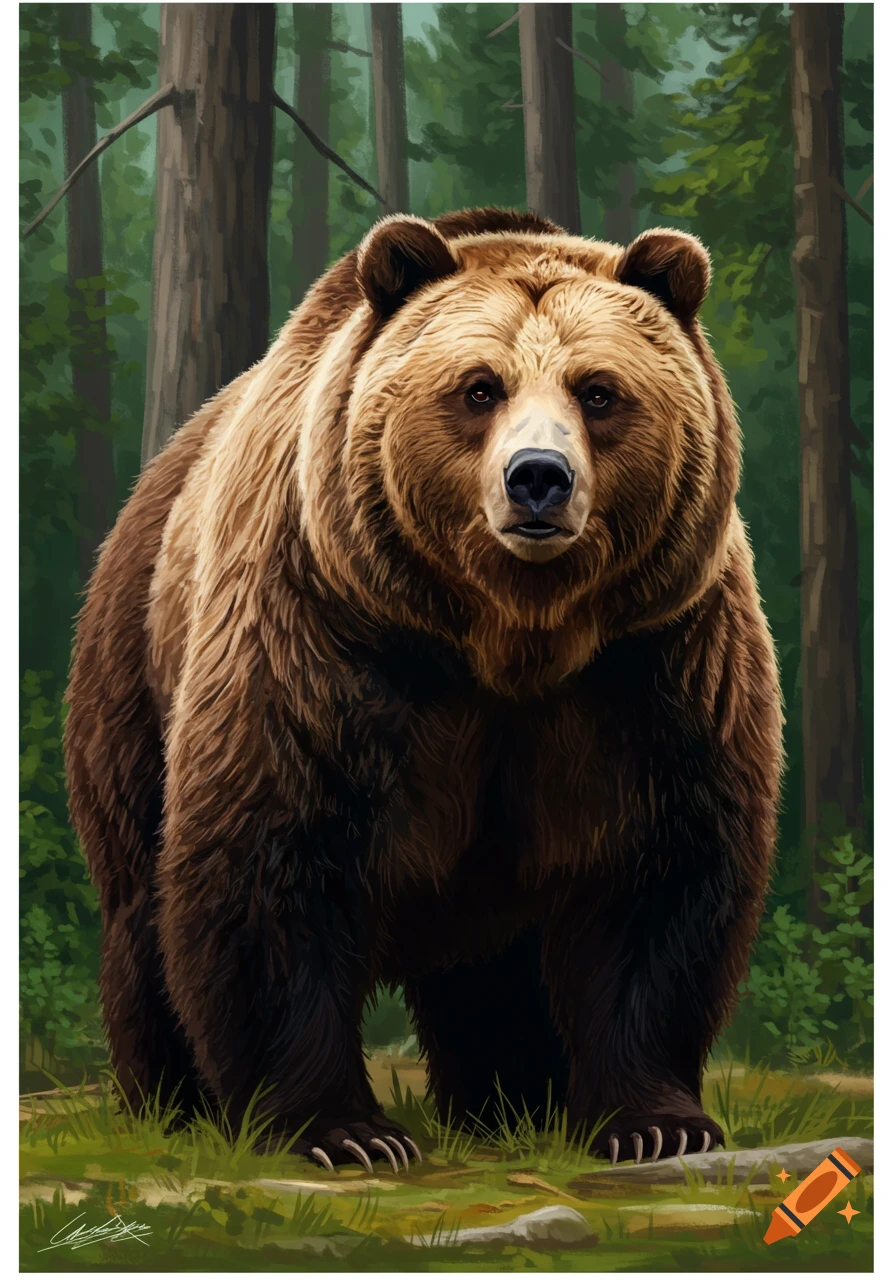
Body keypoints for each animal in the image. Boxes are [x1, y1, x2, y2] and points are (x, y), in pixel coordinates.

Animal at [64, 206, 783, 1172]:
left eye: (598, 391)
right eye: (479, 388)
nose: (538, 478)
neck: (507, 636)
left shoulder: (657, 658)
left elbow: (659, 874)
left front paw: (655, 1121)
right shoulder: (323, 632)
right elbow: (275, 856)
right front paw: (344, 1132)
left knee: (494, 968)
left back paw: (514, 1104)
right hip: (136, 669)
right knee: (142, 906)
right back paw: (173, 1106)